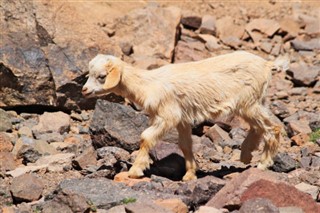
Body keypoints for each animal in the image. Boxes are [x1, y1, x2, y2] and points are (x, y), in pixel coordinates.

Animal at [82, 50, 282, 181]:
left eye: (101, 76)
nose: (84, 90)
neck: (147, 84)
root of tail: (267, 64)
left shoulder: (167, 115)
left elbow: (146, 137)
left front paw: (135, 170)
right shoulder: (182, 119)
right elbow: (185, 145)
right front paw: (190, 174)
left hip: (249, 102)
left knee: (273, 127)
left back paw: (263, 163)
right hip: (253, 102)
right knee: (259, 127)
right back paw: (246, 155)